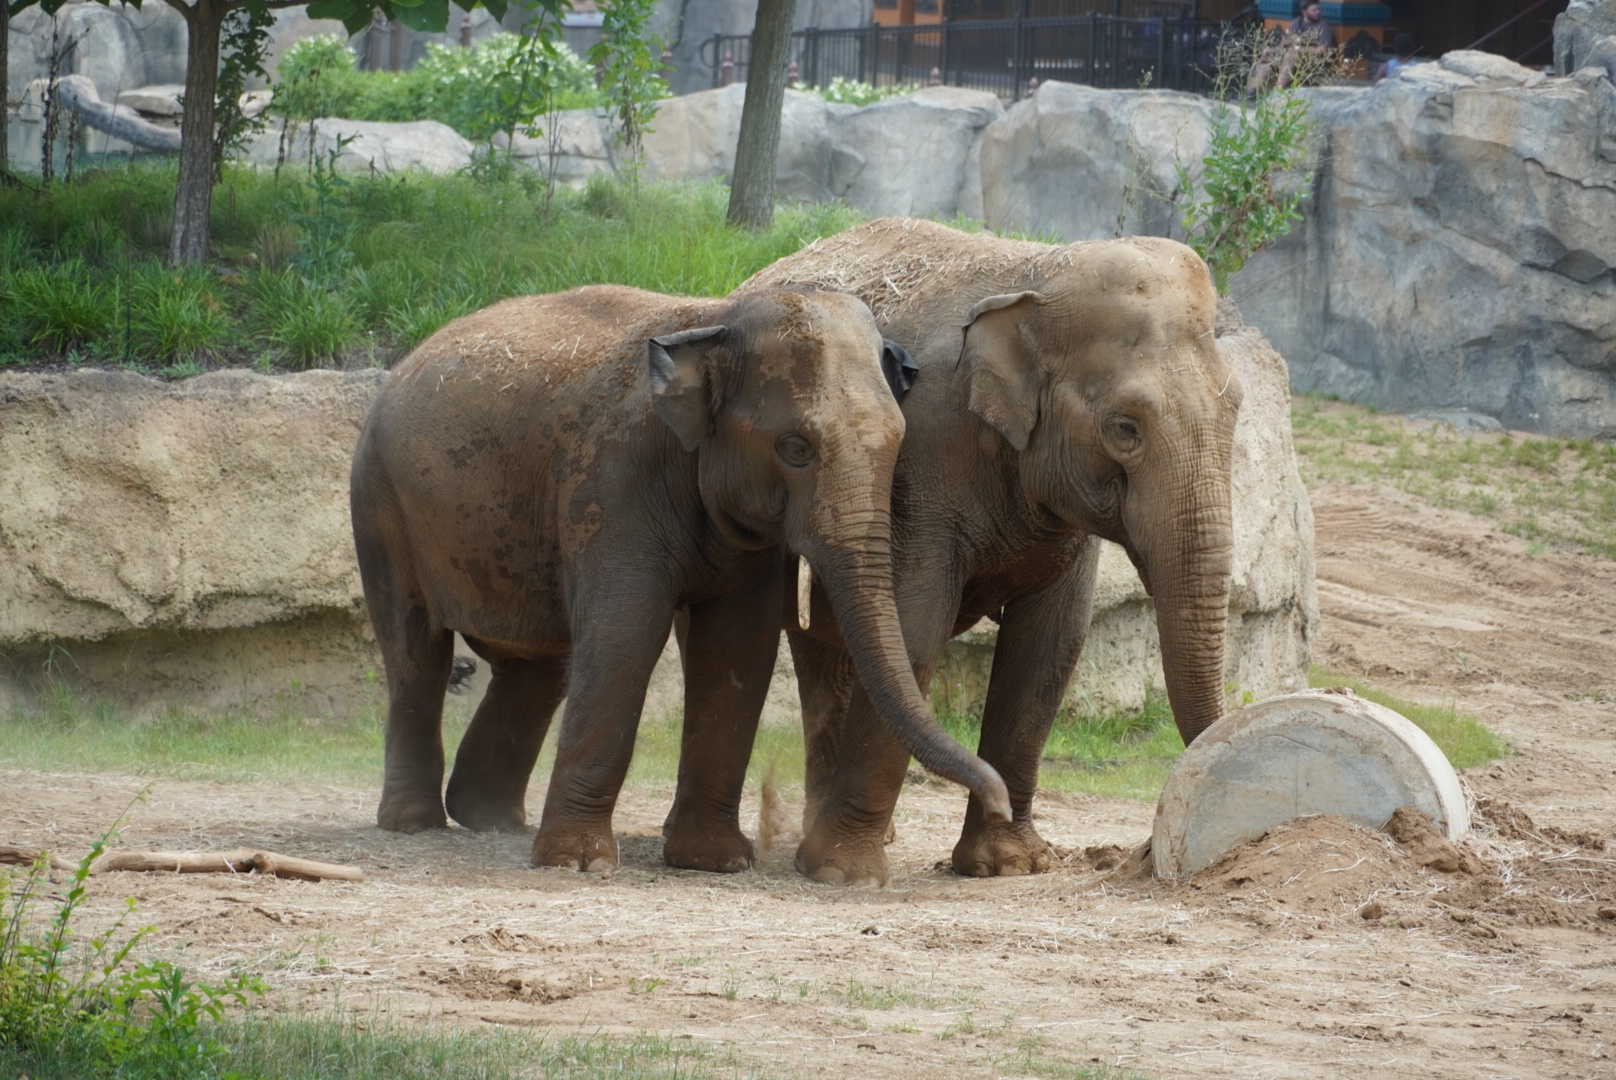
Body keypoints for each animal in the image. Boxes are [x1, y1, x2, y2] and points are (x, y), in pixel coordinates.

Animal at [349, 283, 1010, 874]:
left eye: (898, 446)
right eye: (795, 447)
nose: (1001, 804)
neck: (715, 319)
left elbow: (738, 646)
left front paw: (712, 862)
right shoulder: (614, 481)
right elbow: (625, 635)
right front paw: (579, 864)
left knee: (534, 666)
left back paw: (491, 819)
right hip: (379, 503)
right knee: (416, 650)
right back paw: (416, 823)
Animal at [679, 217, 1244, 886]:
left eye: (1236, 410)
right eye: (1125, 429)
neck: (1037, 272)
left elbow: (1051, 644)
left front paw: (1011, 865)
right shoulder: (924, 463)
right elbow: (916, 628)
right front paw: (845, 874)